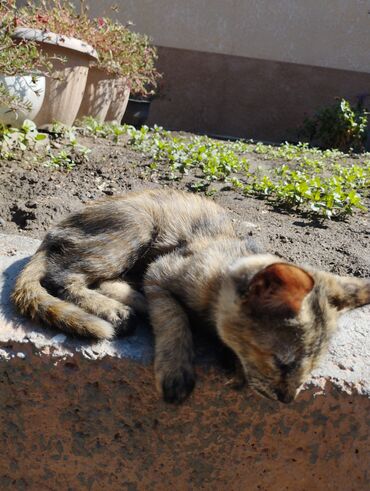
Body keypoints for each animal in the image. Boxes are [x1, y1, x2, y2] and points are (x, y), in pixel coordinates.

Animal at [11, 189, 370, 404]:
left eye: (312, 367)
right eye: (283, 362)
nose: (288, 400)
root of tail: (51, 232)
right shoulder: (162, 272)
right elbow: (175, 318)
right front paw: (177, 370)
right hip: (138, 224)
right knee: (62, 275)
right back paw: (115, 310)